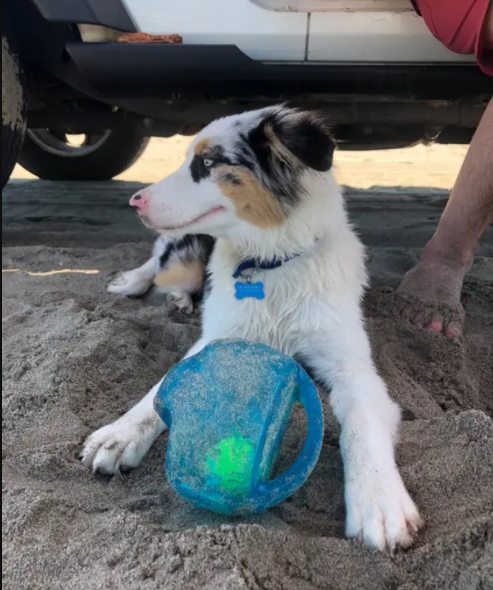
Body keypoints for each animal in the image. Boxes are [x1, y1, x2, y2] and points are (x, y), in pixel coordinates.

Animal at [83, 106, 422, 551]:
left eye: (209, 163)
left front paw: (379, 502)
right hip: (183, 252)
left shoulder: (352, 365)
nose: (134, 200)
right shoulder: (216, 336)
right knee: (159, 261)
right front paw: (119, 435)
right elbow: (160, 387)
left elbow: (362, 426)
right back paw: (142, 286)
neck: (268, 263)